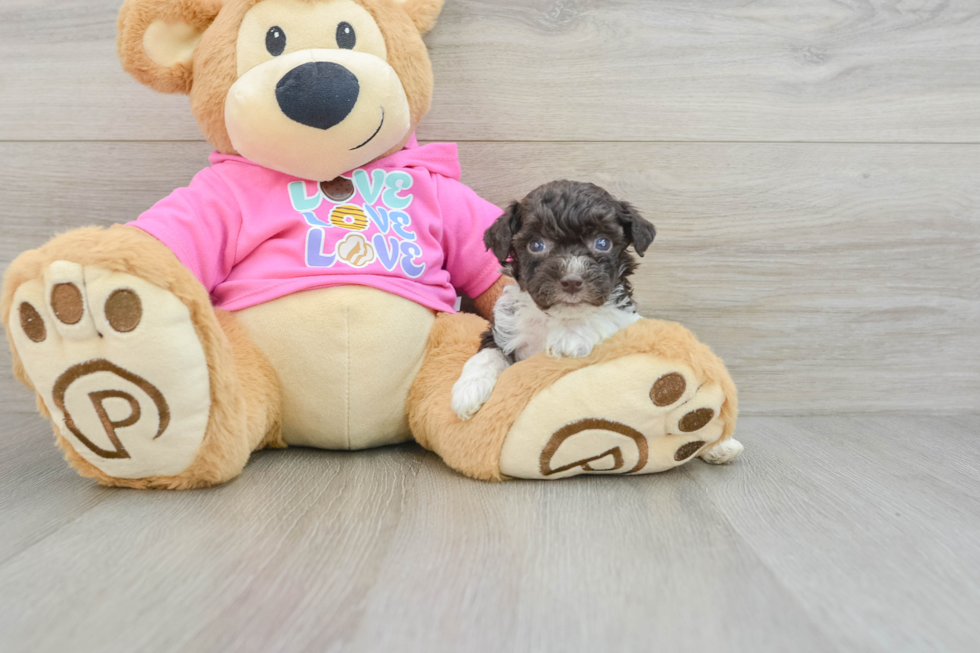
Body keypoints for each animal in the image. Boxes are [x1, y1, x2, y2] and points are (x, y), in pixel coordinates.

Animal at [454, 181, 660, 420]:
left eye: (602, 243)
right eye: (536, 245)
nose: (572, 281)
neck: (555, 317)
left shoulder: (626, 318)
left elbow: (603, 315)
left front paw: (571, 335)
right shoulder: (504, 328)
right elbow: (488, 353)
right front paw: (468, 389)